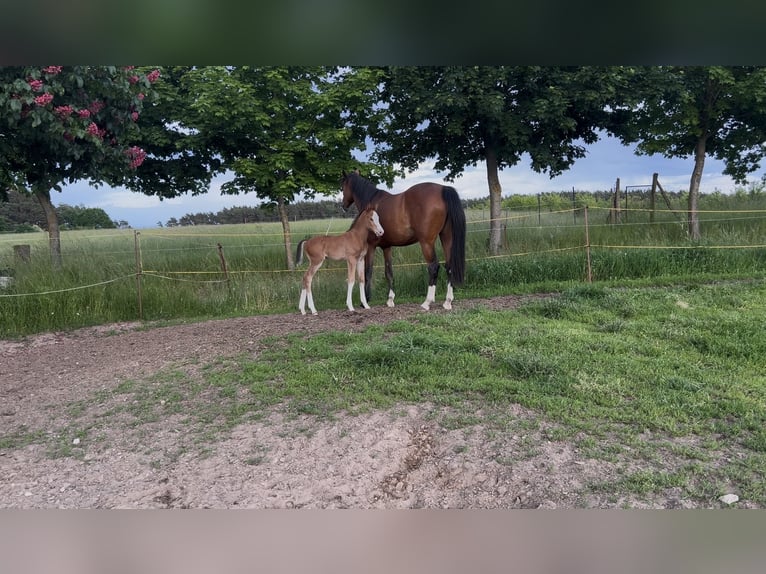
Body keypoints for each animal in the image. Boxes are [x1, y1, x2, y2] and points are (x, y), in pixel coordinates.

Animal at [340, 170, 466, 311]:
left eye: (343, 186)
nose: (343, 206)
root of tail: (443, 189)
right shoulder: (387, 247)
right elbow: (389, 272)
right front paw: (390, 300)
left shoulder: (371, 247)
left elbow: (368, 272)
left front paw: (365, 301)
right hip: (447, 238)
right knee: (449, 266)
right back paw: (447, 302)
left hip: (426, 242)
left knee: (433, 267)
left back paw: (427, 302)